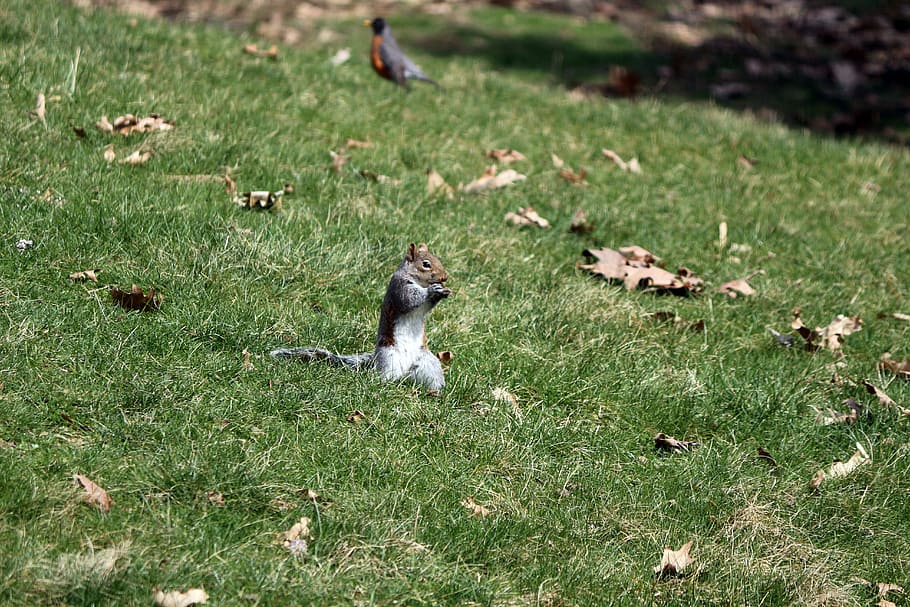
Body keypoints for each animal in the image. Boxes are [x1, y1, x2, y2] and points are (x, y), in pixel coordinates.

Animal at [270, 243, 452, 391]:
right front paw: (433, 290)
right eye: (426, 264)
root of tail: (405, 372)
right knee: (385, 375)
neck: (419, 282)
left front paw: (443, 291)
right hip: (389, 358)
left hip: (428, 364)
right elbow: (410, 300)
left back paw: (436, 393)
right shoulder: (399, 288)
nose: (444, 277)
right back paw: (383, 384)